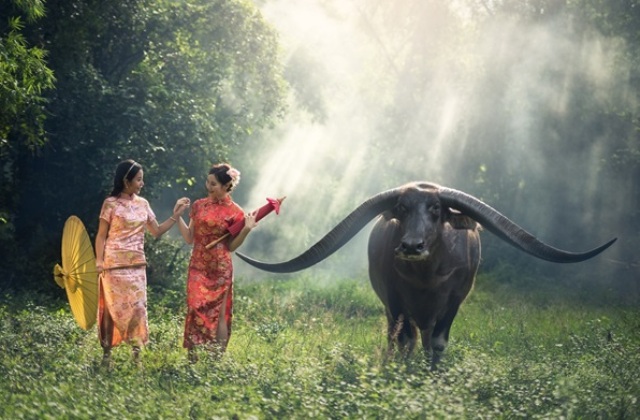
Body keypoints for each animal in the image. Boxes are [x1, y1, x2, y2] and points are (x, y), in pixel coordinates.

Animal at [238, 182, 616, 366]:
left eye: (436, 209)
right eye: (402, 208)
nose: (411, 245)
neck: (425, 279)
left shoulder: (454, 302)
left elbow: (437, 342)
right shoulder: (395, 301)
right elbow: (403, 339)